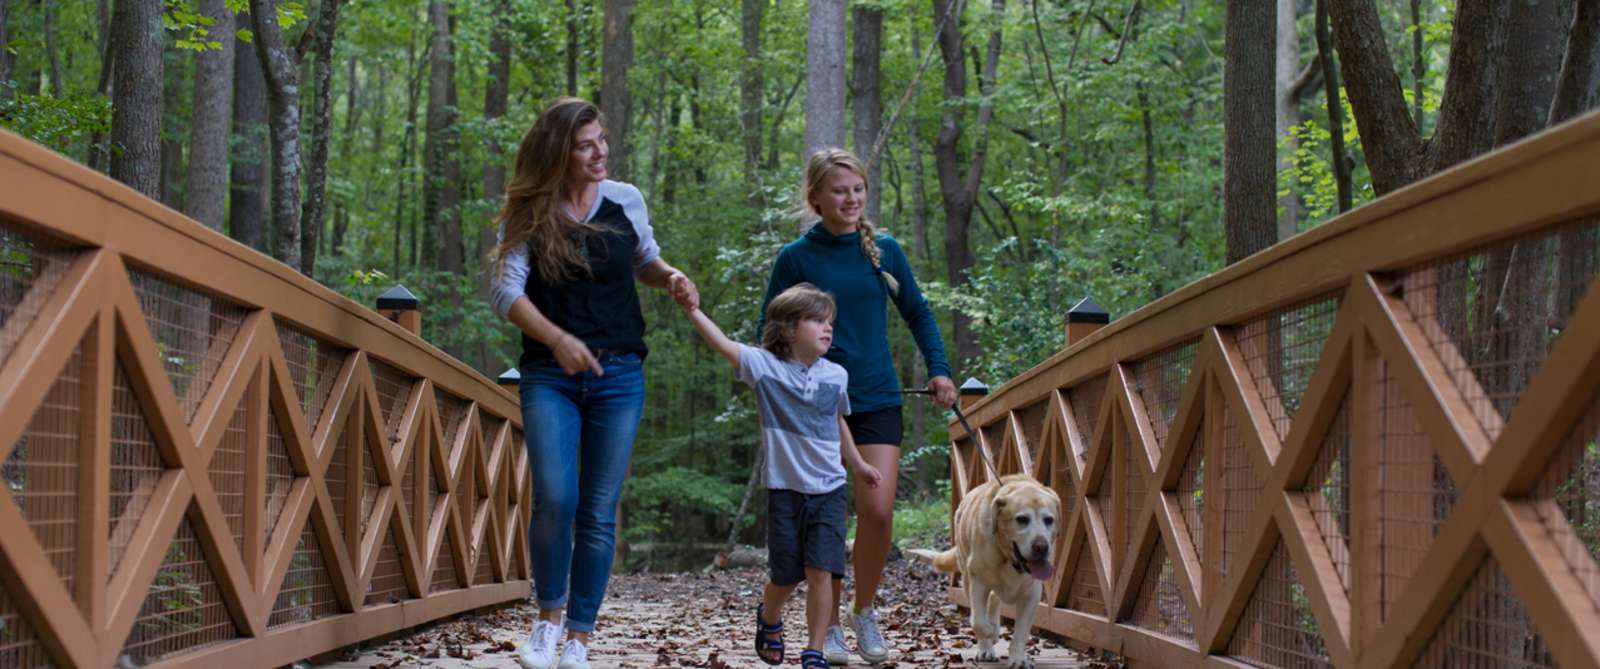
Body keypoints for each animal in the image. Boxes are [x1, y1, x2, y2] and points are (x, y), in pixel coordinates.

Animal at [915, 473, 1062, 665]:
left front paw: (1017, 659)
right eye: (1022, 519)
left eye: (1049, 520)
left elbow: (1021, 632)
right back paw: (988, 643)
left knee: (994, 599)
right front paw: (989, 635)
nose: (1041, 547)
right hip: (967, 576)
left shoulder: (1031, 594)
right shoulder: (978, 583)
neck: (1009, 558)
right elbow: (977, 622)